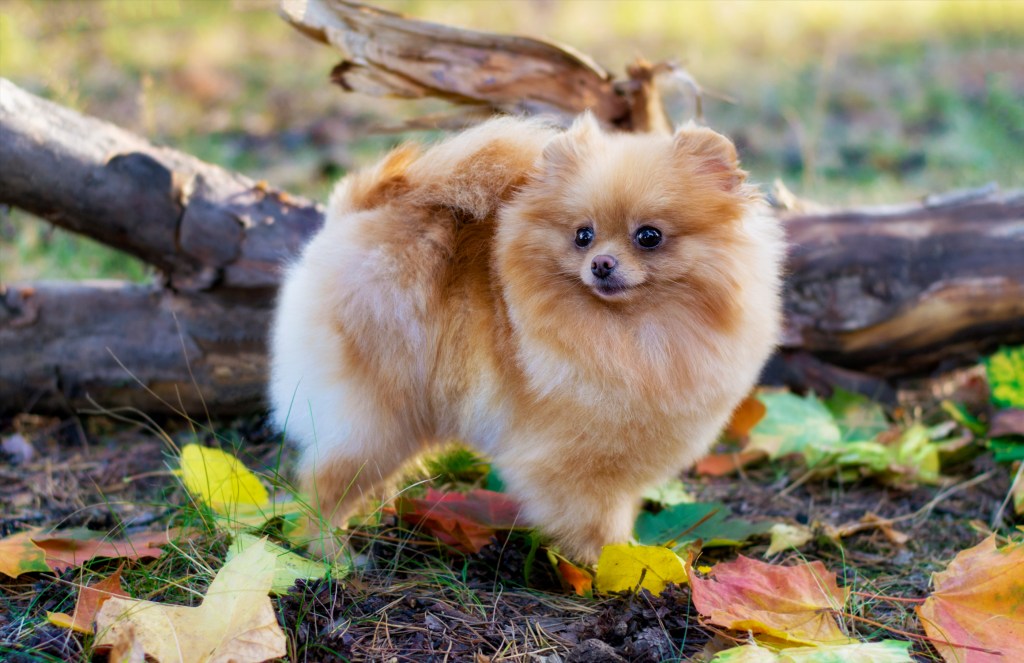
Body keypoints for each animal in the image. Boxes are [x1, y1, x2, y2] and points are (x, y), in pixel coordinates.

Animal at [272, 115, 782, 565]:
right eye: (583, 235)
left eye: (649, 236)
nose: (601, 264)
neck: (635, 329)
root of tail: (357, 213)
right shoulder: (576, 462)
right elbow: (596, 522)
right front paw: (618, 564)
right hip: (374, 418)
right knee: (323, 485)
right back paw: (331, 553)